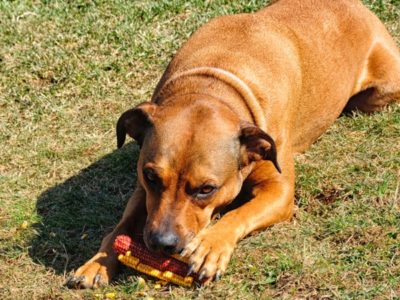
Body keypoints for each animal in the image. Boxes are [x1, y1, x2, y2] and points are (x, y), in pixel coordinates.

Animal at [66, 0, 400, 288]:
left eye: (206, 189)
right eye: (150, 176)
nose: (162, 244)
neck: (214, 83)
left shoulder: (280, 192)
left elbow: (239, 214)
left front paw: (210, 247)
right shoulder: (143, 190)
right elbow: (122, 224)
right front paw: (97, 262)